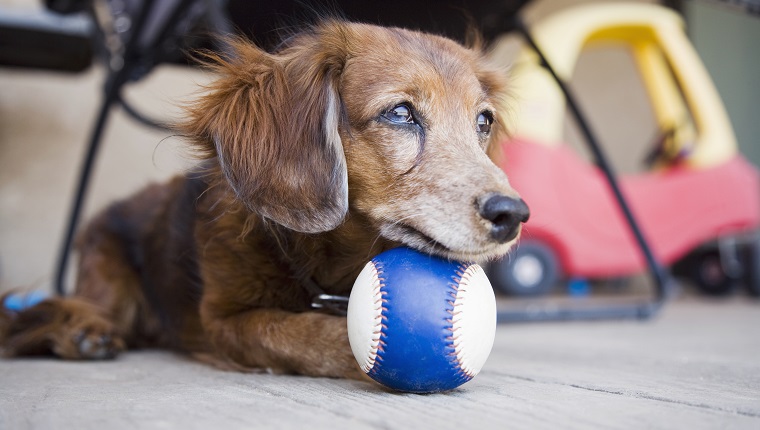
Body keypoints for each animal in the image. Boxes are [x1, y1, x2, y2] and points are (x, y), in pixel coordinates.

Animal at [1, 20, 528, 380]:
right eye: (400, 113)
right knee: (76, 306)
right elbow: (300, 332)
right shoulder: (225, 321)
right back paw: (83, 331)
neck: (328, 263)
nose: (514, 214)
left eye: (483, 121)